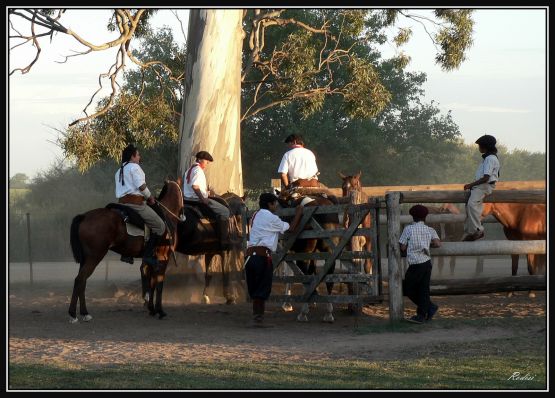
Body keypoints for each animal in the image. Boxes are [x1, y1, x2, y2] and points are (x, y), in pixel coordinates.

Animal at [68, 179, 184, 322]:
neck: (166, 215)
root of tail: (84, 216)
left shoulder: (152, 260)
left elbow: (151, 283)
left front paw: (151, 309)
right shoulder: (163, 258)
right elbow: (159, 284)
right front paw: (160, 311)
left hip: (86, 258)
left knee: (82, 282)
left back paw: (84, 313)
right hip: (95, 256)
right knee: (80, 280)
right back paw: (74, 314)